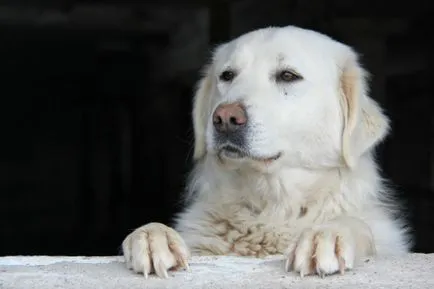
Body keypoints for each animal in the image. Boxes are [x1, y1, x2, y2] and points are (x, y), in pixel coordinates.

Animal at [121, 25, 410, 278]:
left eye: (288, 76)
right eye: (227, 75)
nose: (225, 118)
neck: (272, 206)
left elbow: (354, 225)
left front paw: (325, 235)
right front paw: (153, 236)